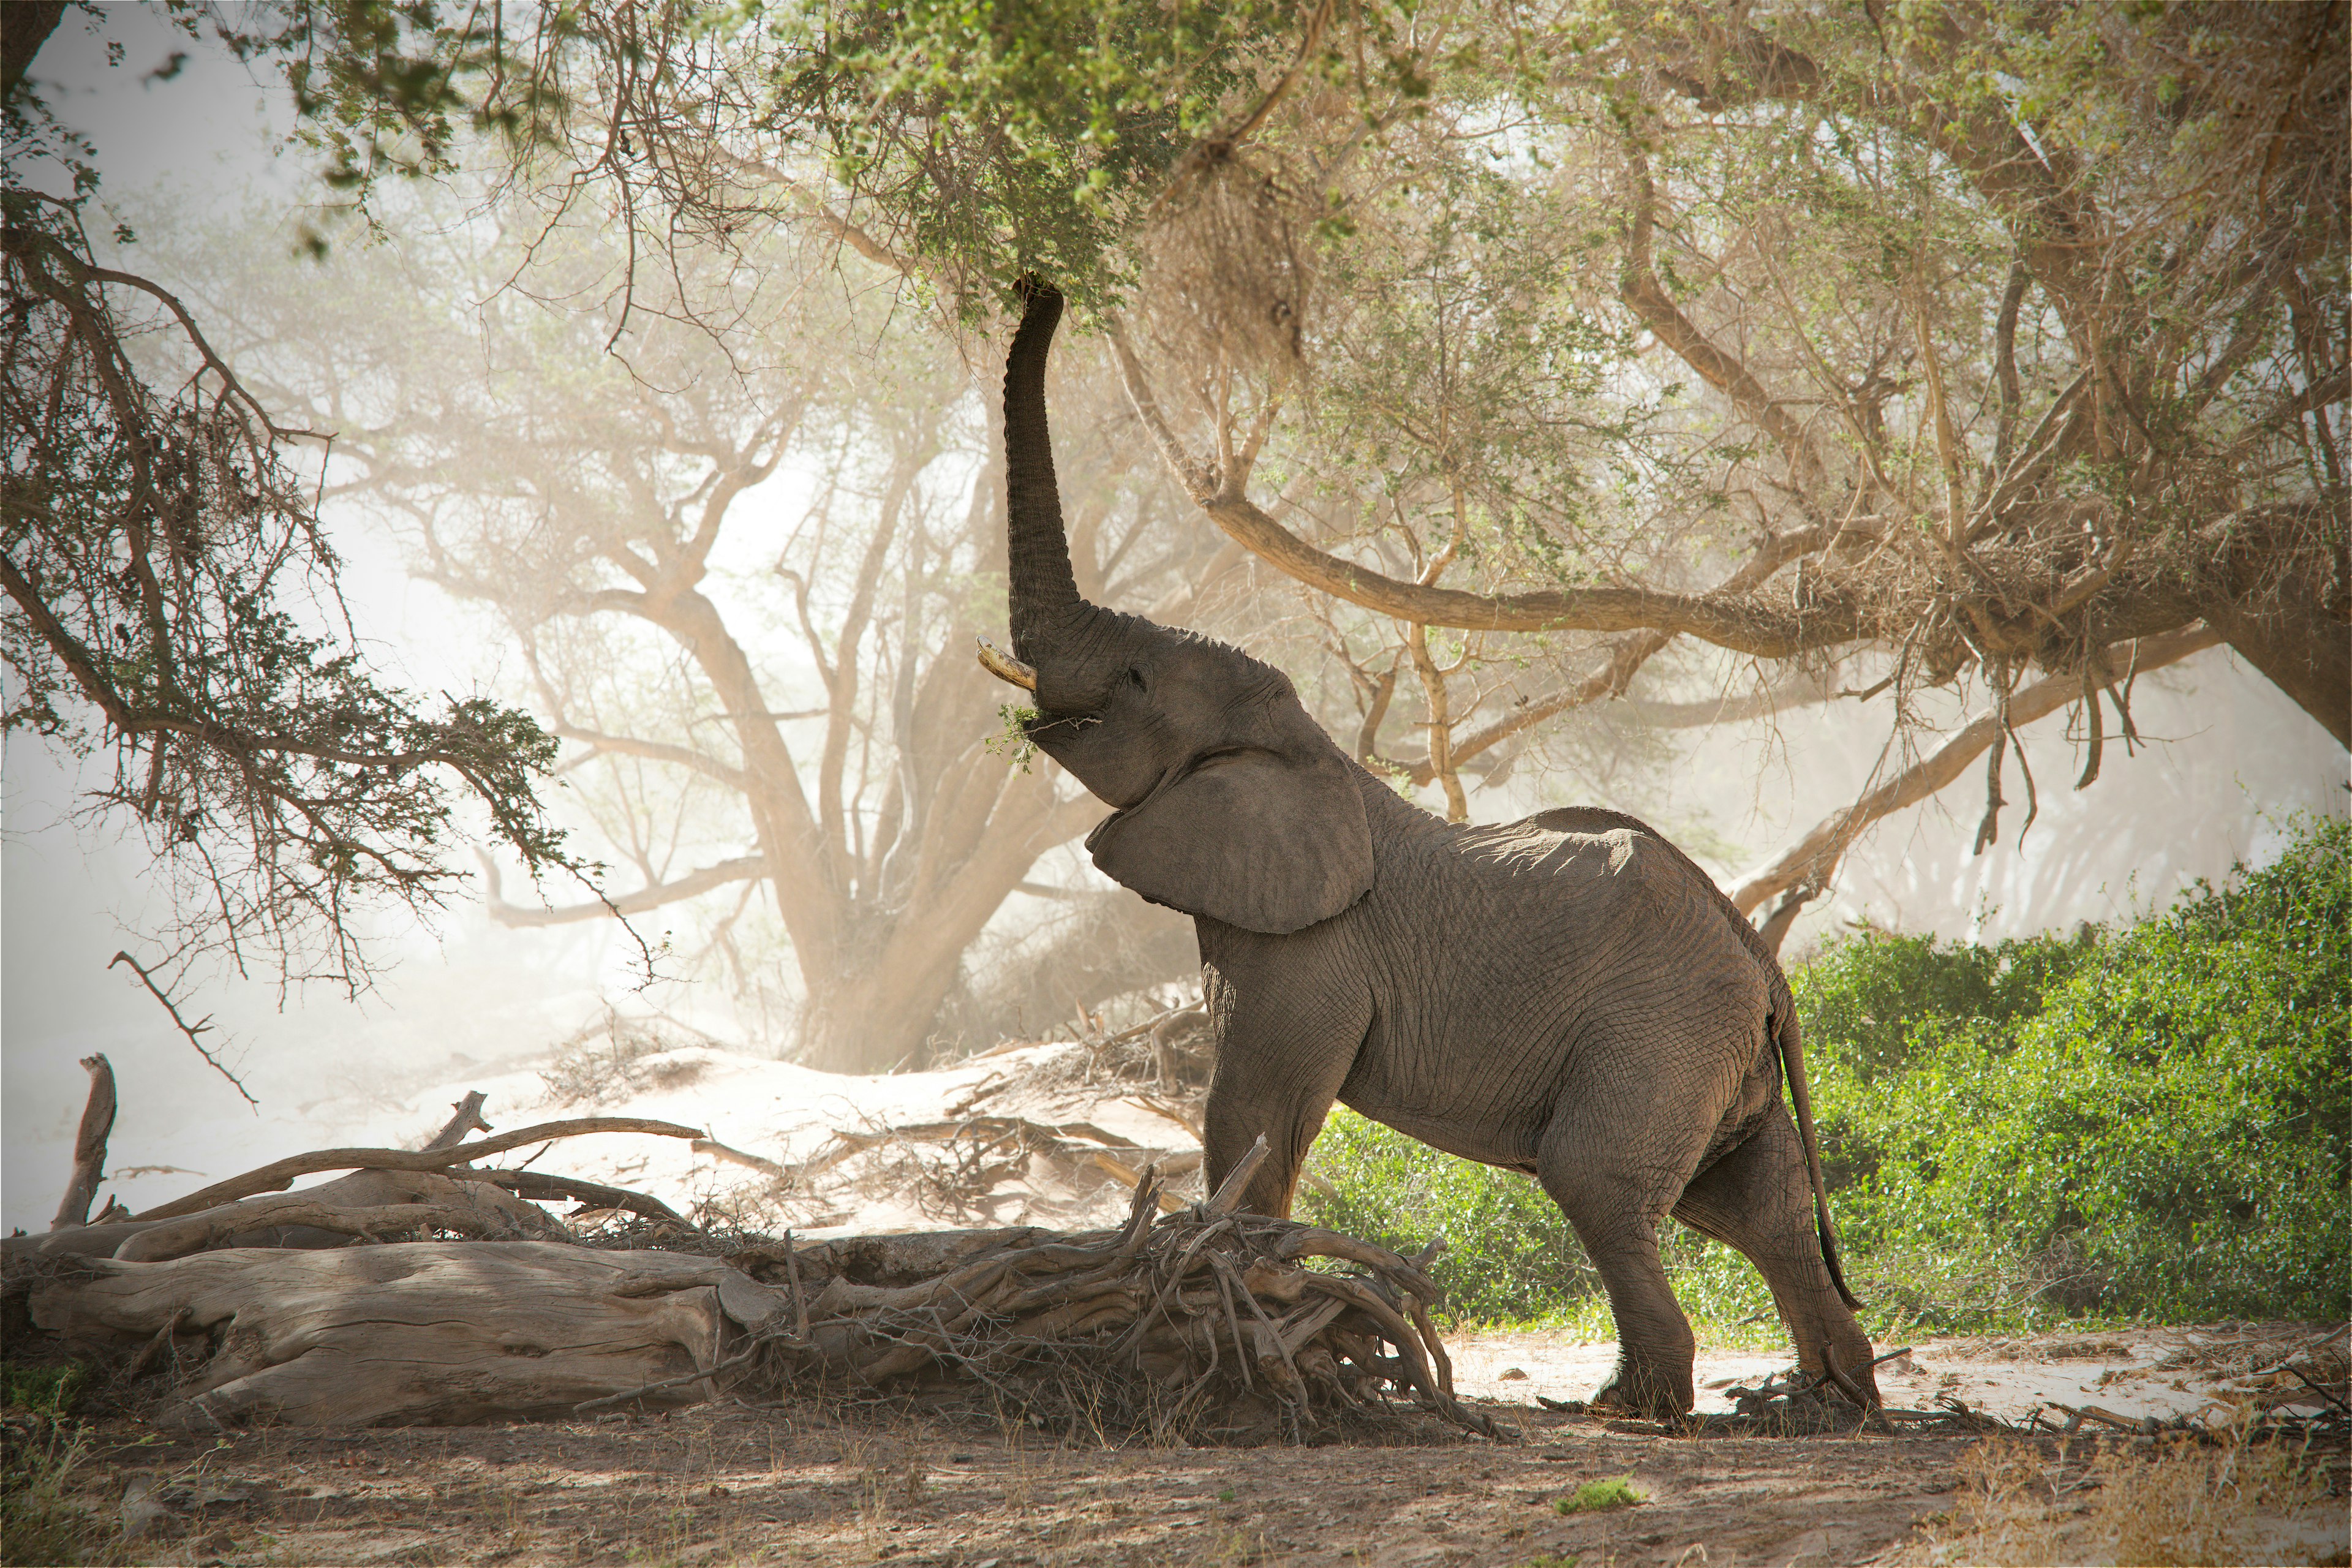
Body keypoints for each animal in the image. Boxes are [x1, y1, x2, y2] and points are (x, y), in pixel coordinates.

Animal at [978, 278, 1879, 1417]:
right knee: (1753, 1203)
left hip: (1661, 1032)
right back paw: (1828, 1405)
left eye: (1138, 679)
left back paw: (1630, 1411)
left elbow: (1254, 1113)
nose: (1042, 286)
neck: (1308, 750)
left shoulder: (1310, 949)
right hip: (1713, 1051)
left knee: (1597, 1179)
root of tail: (1767, 965)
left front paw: (1249, 1309)